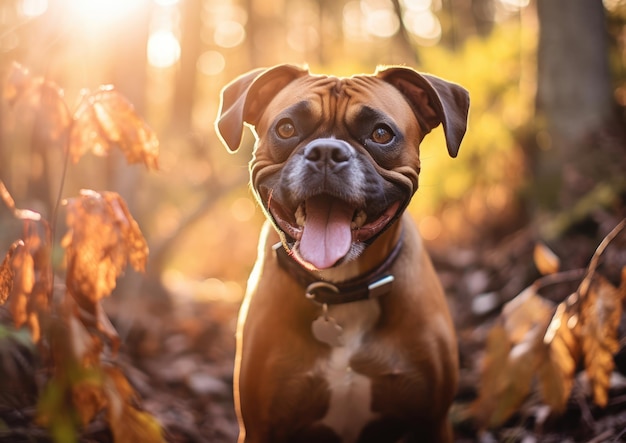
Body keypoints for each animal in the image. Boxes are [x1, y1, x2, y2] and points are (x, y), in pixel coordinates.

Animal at [217, 63, 466, 443]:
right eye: (286, 128)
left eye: (381, 134)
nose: (326, 152)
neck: (341, 290)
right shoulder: (260, 427)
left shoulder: (433, 421)